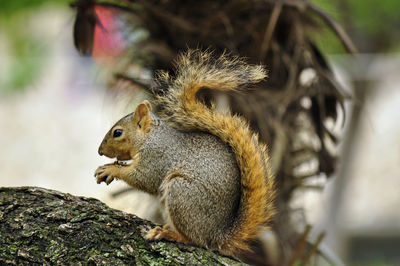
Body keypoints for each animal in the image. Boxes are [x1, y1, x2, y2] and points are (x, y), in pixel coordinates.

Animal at [94, 50, 276, 258]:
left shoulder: (159, 156)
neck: (151, 137)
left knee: (195, 240)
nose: (100, 151)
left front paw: (111, 170)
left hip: (181, 193)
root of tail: (217, 236)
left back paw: (170, 234)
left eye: (117, 133)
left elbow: (145, 178)